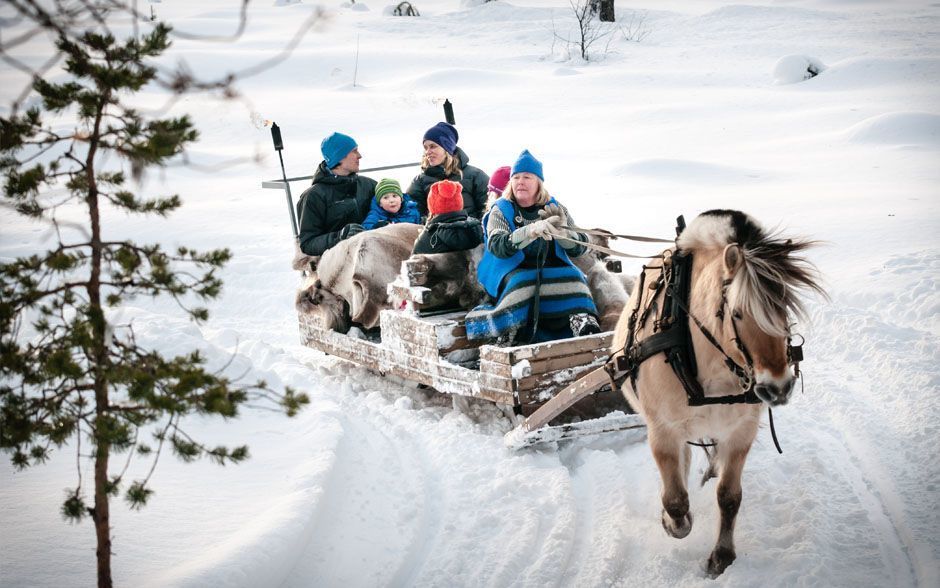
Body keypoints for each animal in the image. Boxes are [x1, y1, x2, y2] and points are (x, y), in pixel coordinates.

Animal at [608, 209, 824, 576]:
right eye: (737, 313)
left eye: (784, 309)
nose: (778, 388)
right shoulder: (662, 431)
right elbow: (675, 500)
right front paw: (674, 523)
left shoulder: (741, 431)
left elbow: (729, 496)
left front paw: (722, 554)